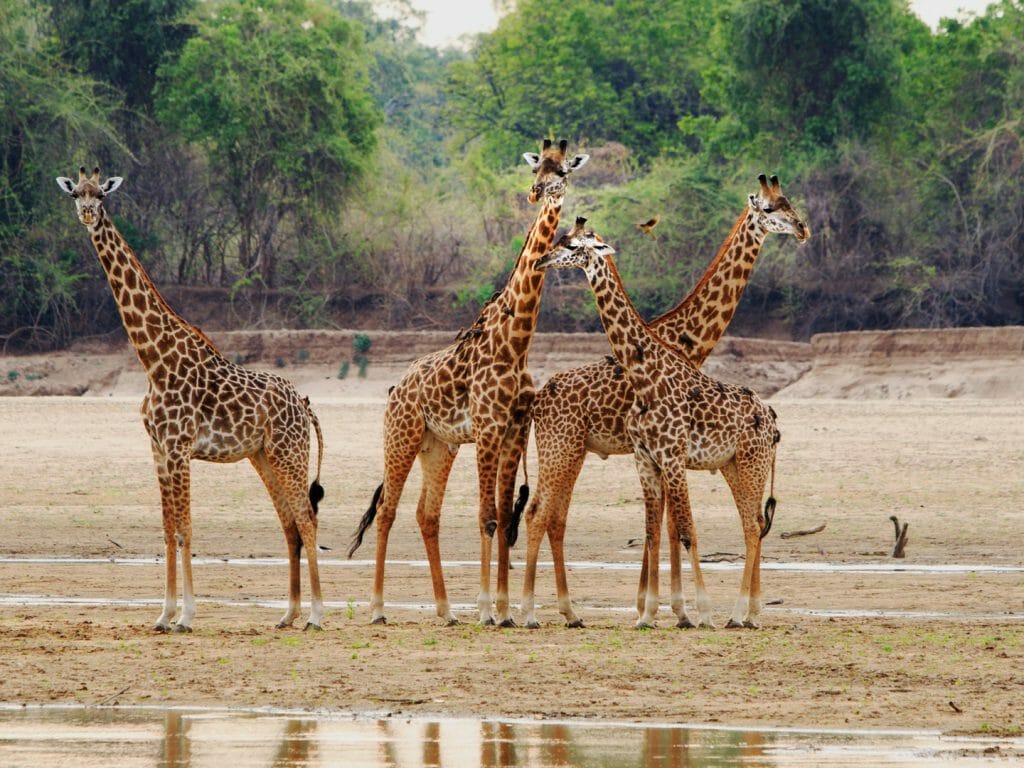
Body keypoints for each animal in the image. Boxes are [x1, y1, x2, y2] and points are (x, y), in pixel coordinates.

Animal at [57, 167, 326, 632]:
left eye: (101, 196)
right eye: (75, 194)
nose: (88, 214)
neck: (152, 359)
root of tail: (305, 404)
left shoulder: (180, 447)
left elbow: (186, 529)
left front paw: (186, 615)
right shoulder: (158, 448)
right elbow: (168, 530)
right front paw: (163, 615)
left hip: (290, 454)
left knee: (307, 520)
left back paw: (316, 615)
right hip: (264, 457)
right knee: (290, 524)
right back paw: (288, 614)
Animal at [346, 140, 589, 626]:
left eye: (563, 172)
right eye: (538, 167)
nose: (537, 192)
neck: (516, 341)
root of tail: (394, 388)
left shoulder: (514, 430)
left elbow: (502, 513)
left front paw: (505, 609)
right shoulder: (489, 428)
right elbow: (487, 517)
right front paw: (486, 610)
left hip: (439, 446)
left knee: (427, 515)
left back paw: (444, 610)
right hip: (401, 436)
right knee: (386, 511)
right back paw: (378, 608)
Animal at [516, 175, 807, 628]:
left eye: (785, 203)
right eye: (771, 208)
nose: (802, 228)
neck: (683, 341)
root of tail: (539, 399)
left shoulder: (665, 456)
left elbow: (669, 529)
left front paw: (671, 609)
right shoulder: (653, 455)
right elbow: (667, 529)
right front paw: (668, 609)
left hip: (581, 451)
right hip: (562, 448)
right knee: (539, 514)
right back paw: (526, 611)